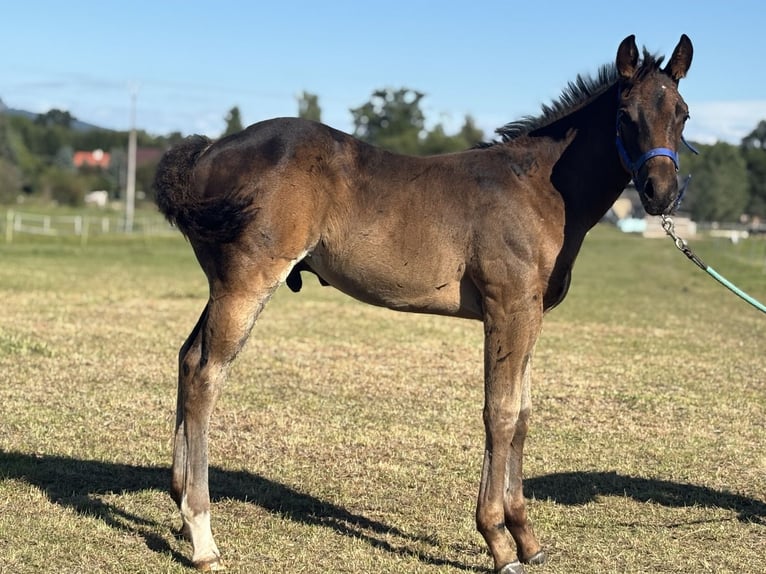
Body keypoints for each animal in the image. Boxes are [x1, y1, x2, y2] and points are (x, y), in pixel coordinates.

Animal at [154, 34, 694, 573]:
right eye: (625, 115)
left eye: (682, 113)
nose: (661, 192)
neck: (538, 188)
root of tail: (208, 150)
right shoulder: (507, 311)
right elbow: (499, 413)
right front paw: (498, 541)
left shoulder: (531, 316)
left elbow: (521, 416)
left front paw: (526, 537)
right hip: (246, 283)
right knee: (206, 373)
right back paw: (202, 535)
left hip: (222, 286)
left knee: (187, 358)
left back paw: (180, 507)